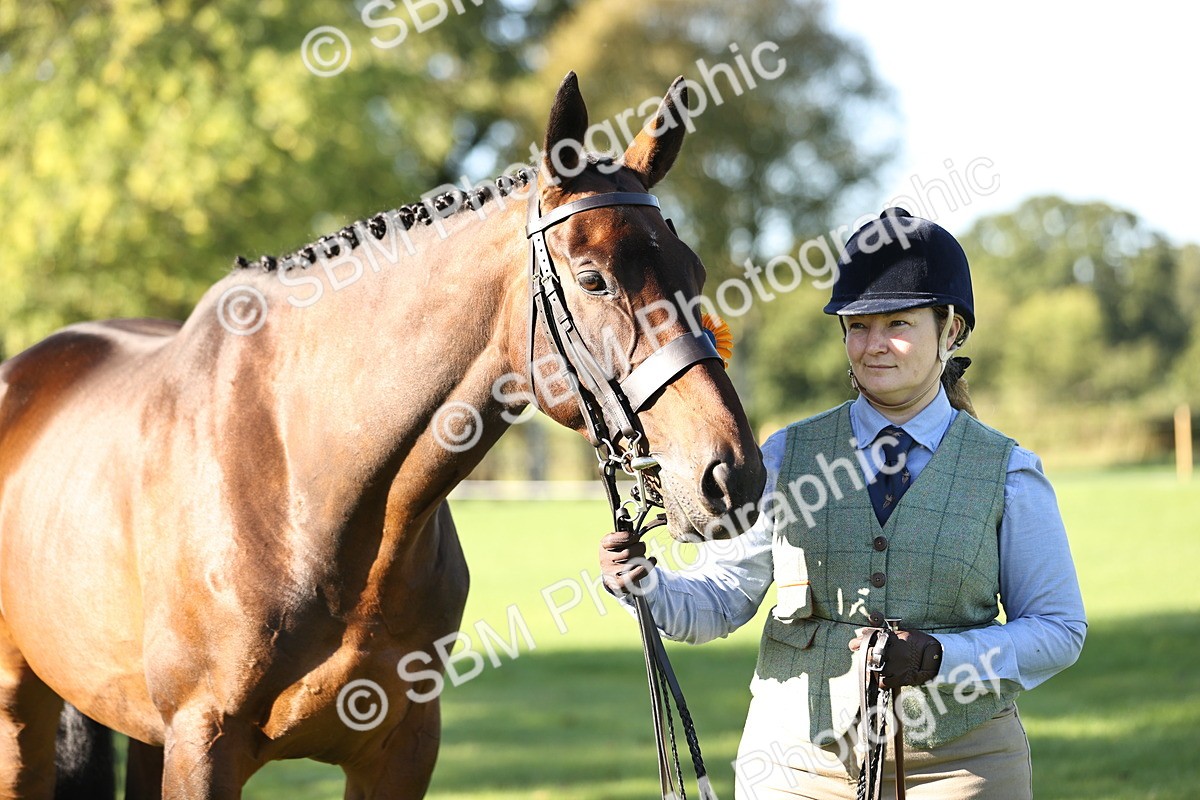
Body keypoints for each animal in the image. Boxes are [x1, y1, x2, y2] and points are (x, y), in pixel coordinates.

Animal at [0, 72, 766, 798]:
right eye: (593, 278)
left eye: (695, 270)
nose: (731, 474)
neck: (309, 494)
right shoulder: (200, 745)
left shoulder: (401, 748)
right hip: (24, 712)